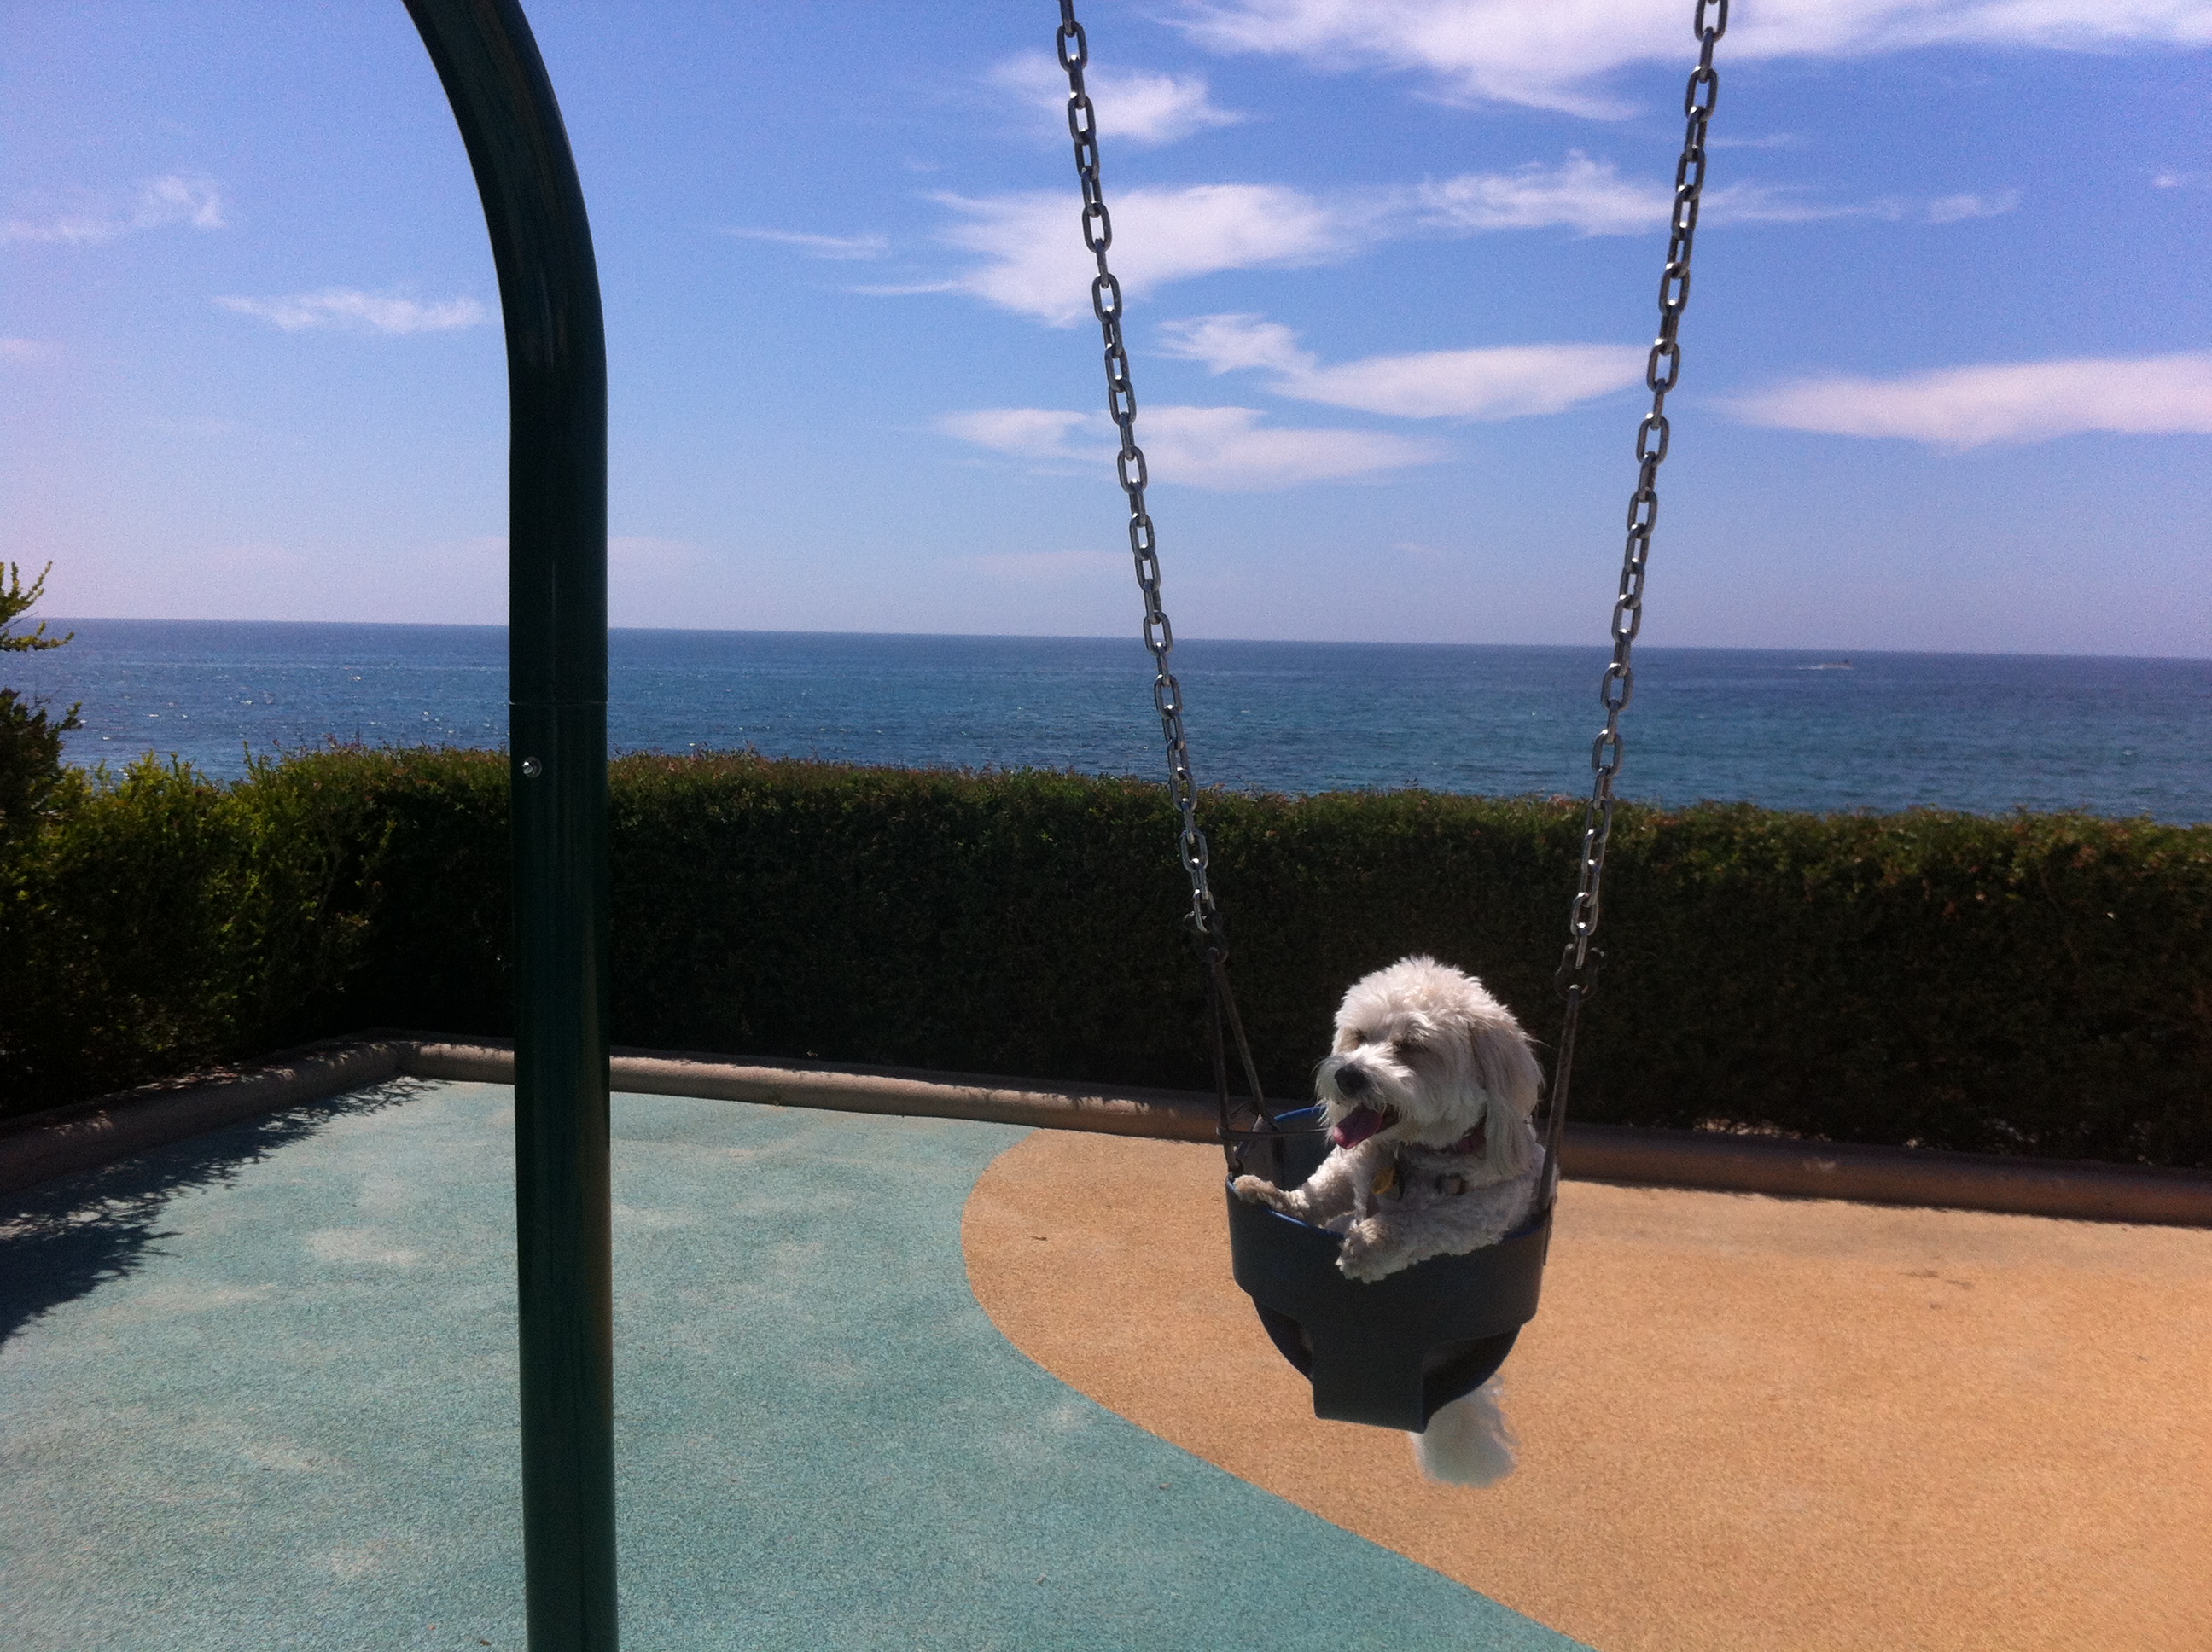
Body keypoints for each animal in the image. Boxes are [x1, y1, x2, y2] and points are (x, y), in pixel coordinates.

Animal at [1231, 954, 1545, 1485]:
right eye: (1358, 1036)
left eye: (1412, 1047)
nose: (1348, 1075)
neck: (1413, 1156)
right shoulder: (1350, 1166)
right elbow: (1320, 1193)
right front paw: (1275, 1196)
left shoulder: (1482, 1216)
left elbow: (1420, 1225)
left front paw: (1369, 1246)